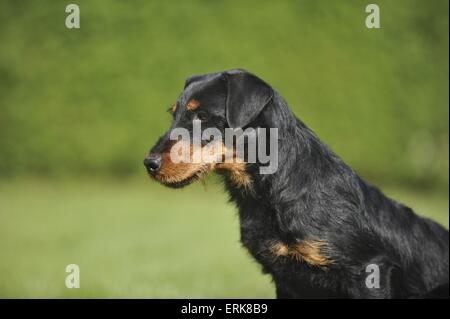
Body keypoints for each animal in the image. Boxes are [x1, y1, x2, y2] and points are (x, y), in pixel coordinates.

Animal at [146, 69, 448, 298]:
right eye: (173, 114)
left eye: (203, 116)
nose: (149, 163)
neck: (268, 191)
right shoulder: (286, 279)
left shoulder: (371, 271)